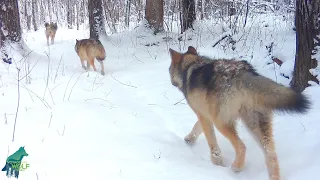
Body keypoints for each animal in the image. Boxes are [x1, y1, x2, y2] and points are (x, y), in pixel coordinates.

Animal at [168, 46, 310, 180]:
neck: (190, 66)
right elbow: (196, 127)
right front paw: (189, 139)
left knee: (242, 146)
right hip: (255, 126)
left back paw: (236, 167)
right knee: (271, 155)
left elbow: (212, 145)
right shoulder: (206, 115)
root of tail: (242, 72)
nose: (170, 80)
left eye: (169, 69)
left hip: (222, 123)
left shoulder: (204, 116)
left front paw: (217, 163)